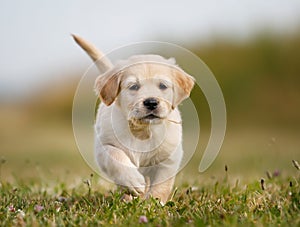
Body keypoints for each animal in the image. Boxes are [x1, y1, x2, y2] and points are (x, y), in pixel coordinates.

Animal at [73, 35, 195, 204]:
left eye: (162, 86)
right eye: (134, 86)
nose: (151, 102)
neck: (142, 129)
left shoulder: (169, 157)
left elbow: (162, 183)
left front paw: (154, 202)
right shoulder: (104, 146)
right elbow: (116, 157)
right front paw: (133, 182)